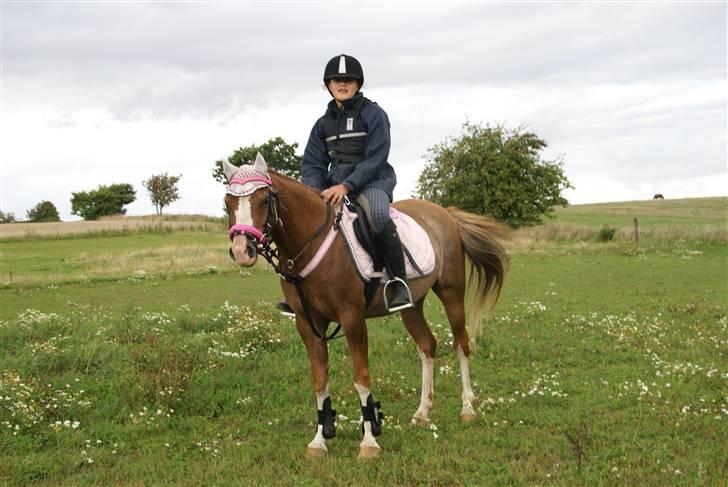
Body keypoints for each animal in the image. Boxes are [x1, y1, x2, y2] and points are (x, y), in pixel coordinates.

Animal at [222, 154, 506, 460]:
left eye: (264, 200)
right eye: (227, 202)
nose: (242, 251)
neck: (313, 242)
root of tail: (446, 214)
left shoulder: (353, 320)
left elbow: (361, 377)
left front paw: (369, 441)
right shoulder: (308, 324)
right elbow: (320, 381)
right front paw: (319, 441)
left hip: (452, 293)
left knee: (461, 344)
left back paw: (467, 407)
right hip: (411, 306)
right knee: (427, 346)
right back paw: (422, 412)